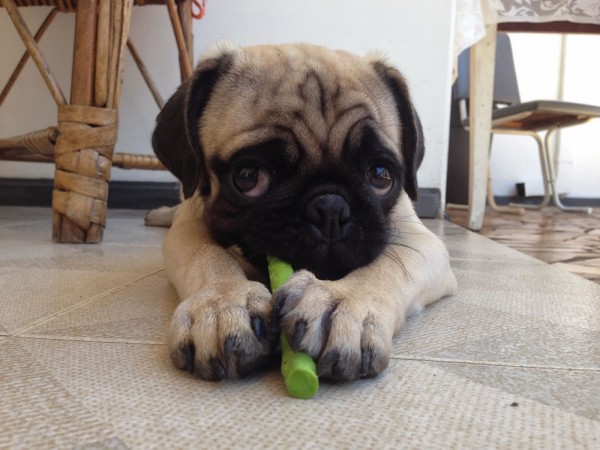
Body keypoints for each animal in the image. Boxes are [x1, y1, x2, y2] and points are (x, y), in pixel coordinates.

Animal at [150, 42, 454, 382]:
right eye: (248, 177)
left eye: (381, 176)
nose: (330, 208)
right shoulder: (189, 226)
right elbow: (206, 254)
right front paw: (223, 300)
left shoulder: (421, 240)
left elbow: (389, 264)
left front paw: (343, 299)